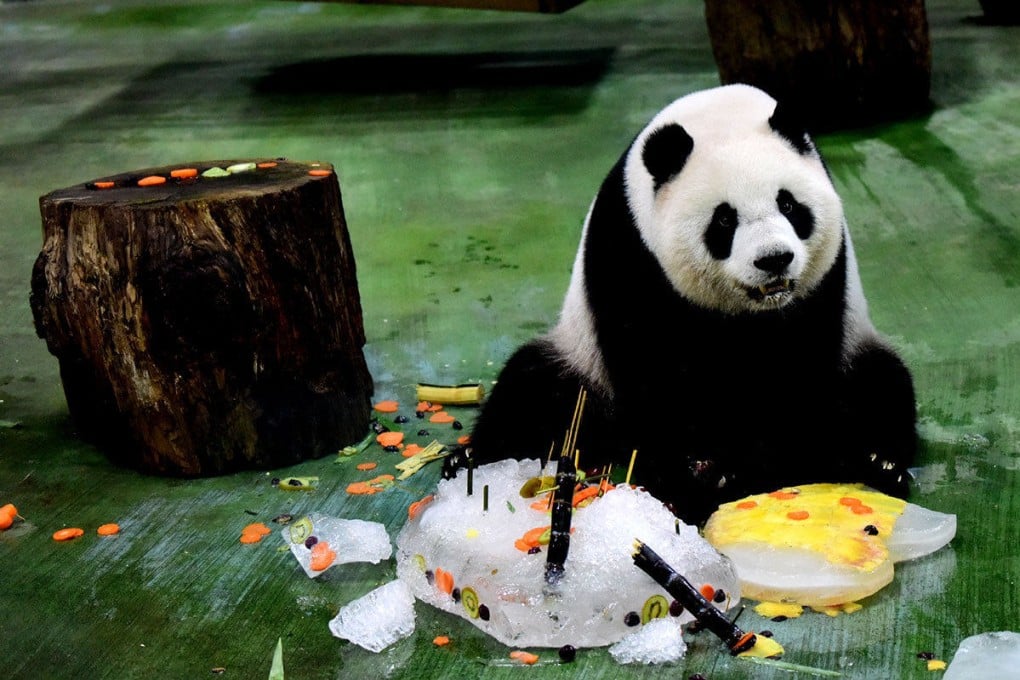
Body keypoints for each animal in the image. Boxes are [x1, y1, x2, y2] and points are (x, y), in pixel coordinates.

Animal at [465, 84, 917, 523]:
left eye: (788, 204)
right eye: (724, 219)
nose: (773, 259)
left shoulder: (824, 282)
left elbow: (799, 368)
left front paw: (779, 459)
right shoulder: (629, 250)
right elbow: (653, 369)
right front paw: (698, 474)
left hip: (857, 348)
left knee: (881, 382)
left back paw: (877, 461)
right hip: (582, 362)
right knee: (536, 391)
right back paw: (471, 458)